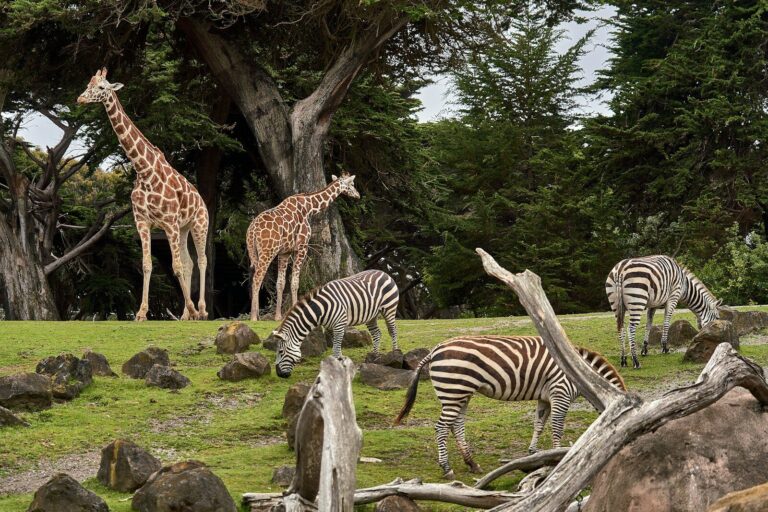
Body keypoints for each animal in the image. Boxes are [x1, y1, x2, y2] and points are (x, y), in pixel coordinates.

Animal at [78, 68, 209, 321]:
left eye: (101, 87)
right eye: (88, 84)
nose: (80, 99)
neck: (143, 170)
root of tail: (201, 200)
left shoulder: (168, 222)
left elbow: (176, 266)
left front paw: (191, 308)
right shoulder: (143, 221)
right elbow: (147, 264)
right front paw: (141, 312)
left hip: (199, 224)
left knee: (201, 260)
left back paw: (201, 310)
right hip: (184, 228)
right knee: (189, 262)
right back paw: (186, 315)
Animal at [246, 173, 360, 321]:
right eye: (352, 184)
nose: (358, 195)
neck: (309, 207)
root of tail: (252, 230)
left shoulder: (285, 252)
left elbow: (280, 283)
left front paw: (278, 316)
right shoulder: (302, 247)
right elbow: (295, 282)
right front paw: (294, 311)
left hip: (254, 252)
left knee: (253, 278)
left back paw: (255, 314)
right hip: (267, 251)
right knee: (257, 279)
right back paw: (254, 317)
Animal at [394, 335, 625, 479]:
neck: (581, 374)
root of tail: (434, 350)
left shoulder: (545, 397)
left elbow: (539, 423)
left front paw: (534, 452)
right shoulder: (560, 393)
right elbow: (557, 428)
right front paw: (559, 456)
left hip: (459, 393)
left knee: (456, 425)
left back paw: (472, 463)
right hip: (454, 390)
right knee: (441, 427)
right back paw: (447, 467)